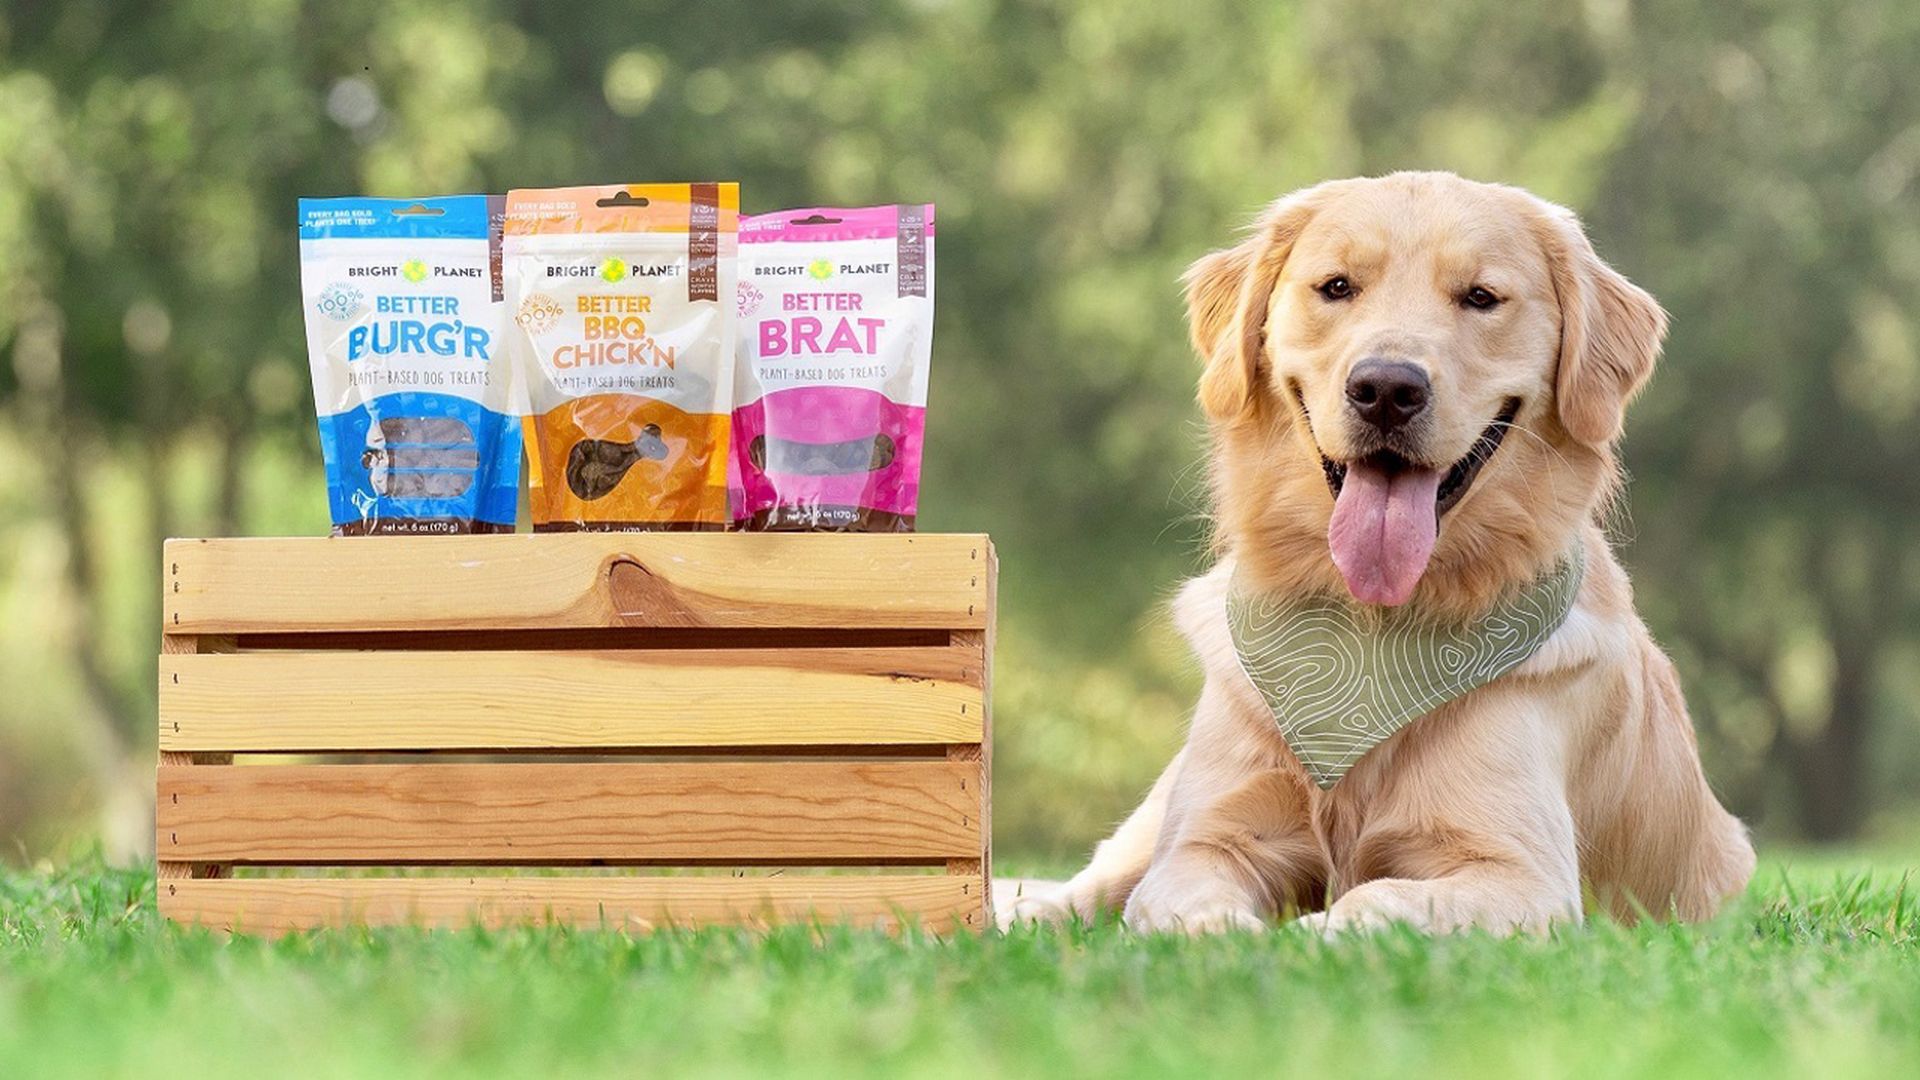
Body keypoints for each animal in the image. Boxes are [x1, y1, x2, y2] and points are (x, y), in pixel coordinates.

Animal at [1013, 171, 1758, 930]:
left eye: (1480, 296)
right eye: (1337, 286)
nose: (1387, 389)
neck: (1371, 627)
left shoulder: (1522, 875)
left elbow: (1375, 897)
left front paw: (1304, 933)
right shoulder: (1204, 839)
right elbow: (1183, 901)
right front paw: (1222, 933)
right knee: (1081, 890)